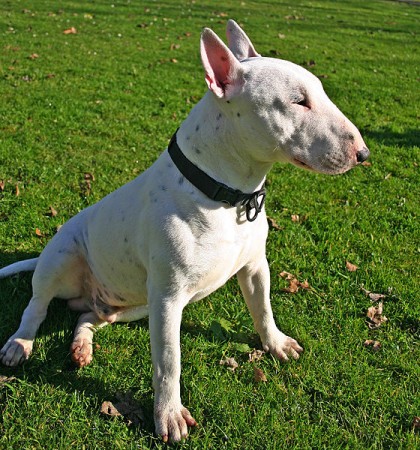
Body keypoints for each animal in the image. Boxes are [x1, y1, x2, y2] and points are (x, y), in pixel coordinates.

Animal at [0, 21, 368, 442]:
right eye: (298, 101)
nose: (364, 153)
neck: (227, 196)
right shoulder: (168, 300)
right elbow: (168, 362)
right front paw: (169, 415)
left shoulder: (255, 267)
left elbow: (263, 308)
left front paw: (275, 343)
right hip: (63, 258)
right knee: (37, 305)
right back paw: (19, 344)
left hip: (132, 307)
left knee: (88, 317)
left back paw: (81, 346)